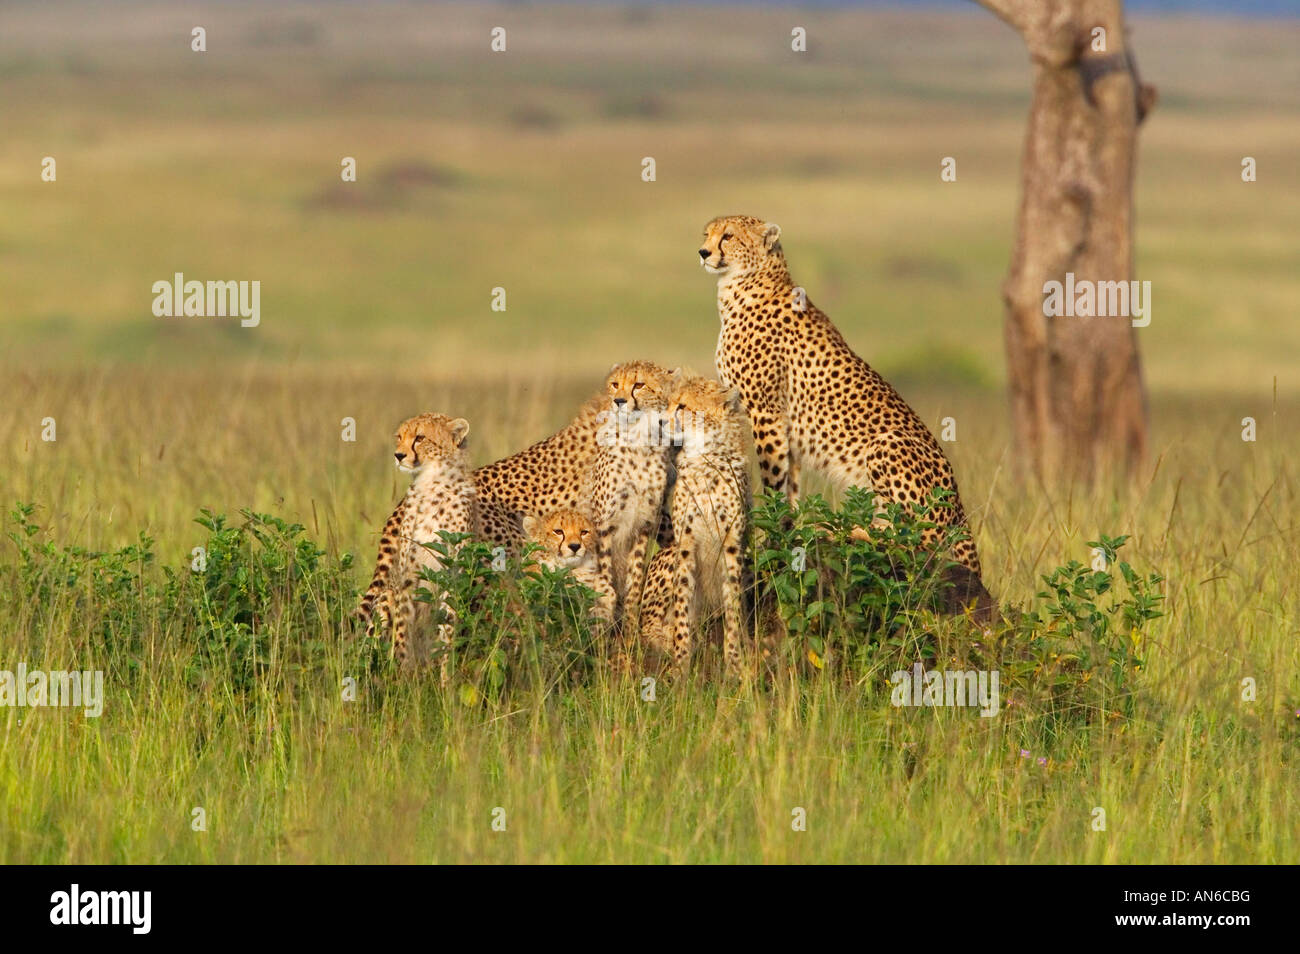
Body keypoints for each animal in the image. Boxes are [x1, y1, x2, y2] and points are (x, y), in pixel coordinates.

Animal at [356, 415, 478, 675]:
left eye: (420, 438)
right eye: (399, 437)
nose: (398, 455)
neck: (431, 485)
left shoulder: (453, 575)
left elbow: (447, 635)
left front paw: (446, 679)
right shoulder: (408, 577)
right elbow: (403, 630)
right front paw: (403, 672)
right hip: (385, 598)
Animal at [579, 361, 681, 623]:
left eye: (639, 385)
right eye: (615, 384)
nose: (619, 401)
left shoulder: (644, 523)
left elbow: (634, 581)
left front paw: (630, 622)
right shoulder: (604, 524)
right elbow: (604, 575)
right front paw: (605, 608)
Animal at [639, 376, 754, 675]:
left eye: (683, 406)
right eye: (668, 403)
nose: (659, 423)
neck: (704, 459)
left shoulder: (733, 546)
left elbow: (733, 608)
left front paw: (735, 663)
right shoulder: (686, 545)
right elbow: (682, 605)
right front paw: (681, 665)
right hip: (668, 557)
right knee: (646, 626)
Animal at [702, 214, 993, 621]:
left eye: (728, 236)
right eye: (707, 233)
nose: (703, 252)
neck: (744, 283)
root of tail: (959, 507)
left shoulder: (765, 413)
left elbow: (773, 485)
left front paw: (771, 539)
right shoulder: (786, 429)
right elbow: (790, 489)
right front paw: (789, 535)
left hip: (887, 445)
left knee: (917, 543)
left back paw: (842, 531)